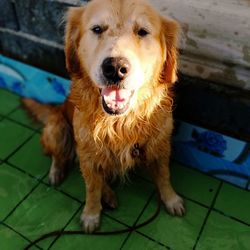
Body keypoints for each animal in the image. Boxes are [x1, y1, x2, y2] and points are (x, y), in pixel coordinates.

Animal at [23, 0, 185, 233]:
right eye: (97, 29)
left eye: (142, 32)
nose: (115, 68)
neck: (120, 123)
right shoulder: (88, 155)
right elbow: (91, 189)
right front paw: (91, 215)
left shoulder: (160, 147)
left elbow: (164, 176)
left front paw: (171, 199)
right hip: (57, 128)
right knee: (60, 156)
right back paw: (58, 172)